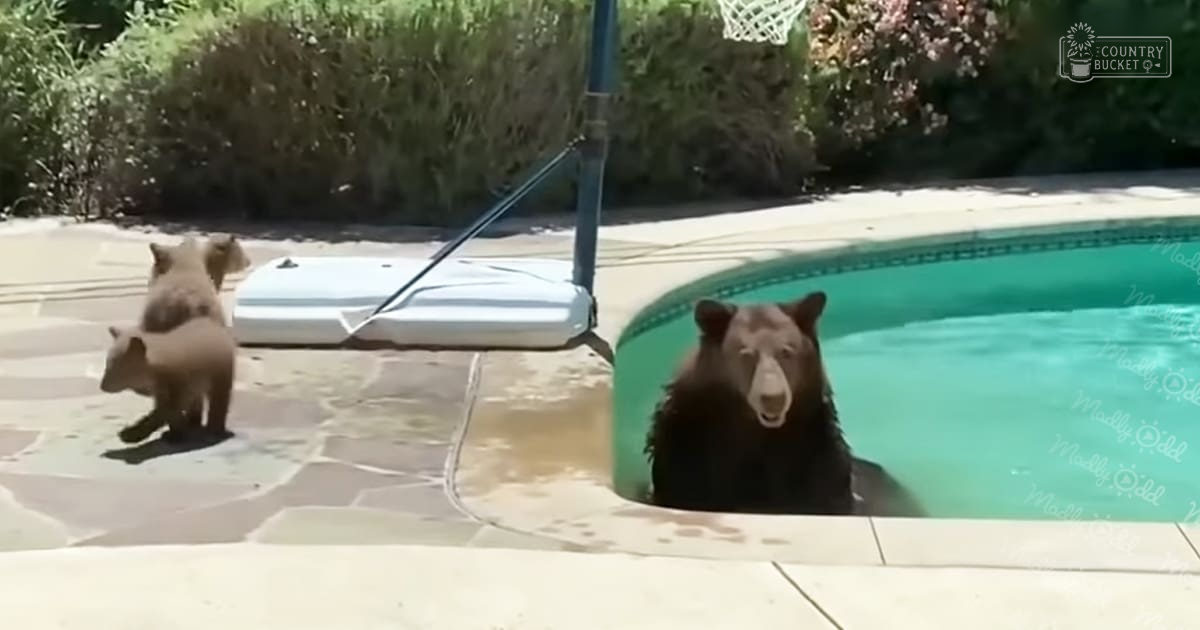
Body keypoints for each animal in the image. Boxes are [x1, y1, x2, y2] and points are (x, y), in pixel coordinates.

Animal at [100, 318, 236, 444]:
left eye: (117, 367)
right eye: (107, 364)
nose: (102, 386)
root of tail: (214, 324)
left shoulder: (179, 385)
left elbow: (165, 411)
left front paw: (130, 433)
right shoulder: (161, 390)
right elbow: (169, 413)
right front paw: (175, 434)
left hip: (221, 374)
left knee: (219, 399)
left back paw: (214, 431)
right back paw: (193, 422)